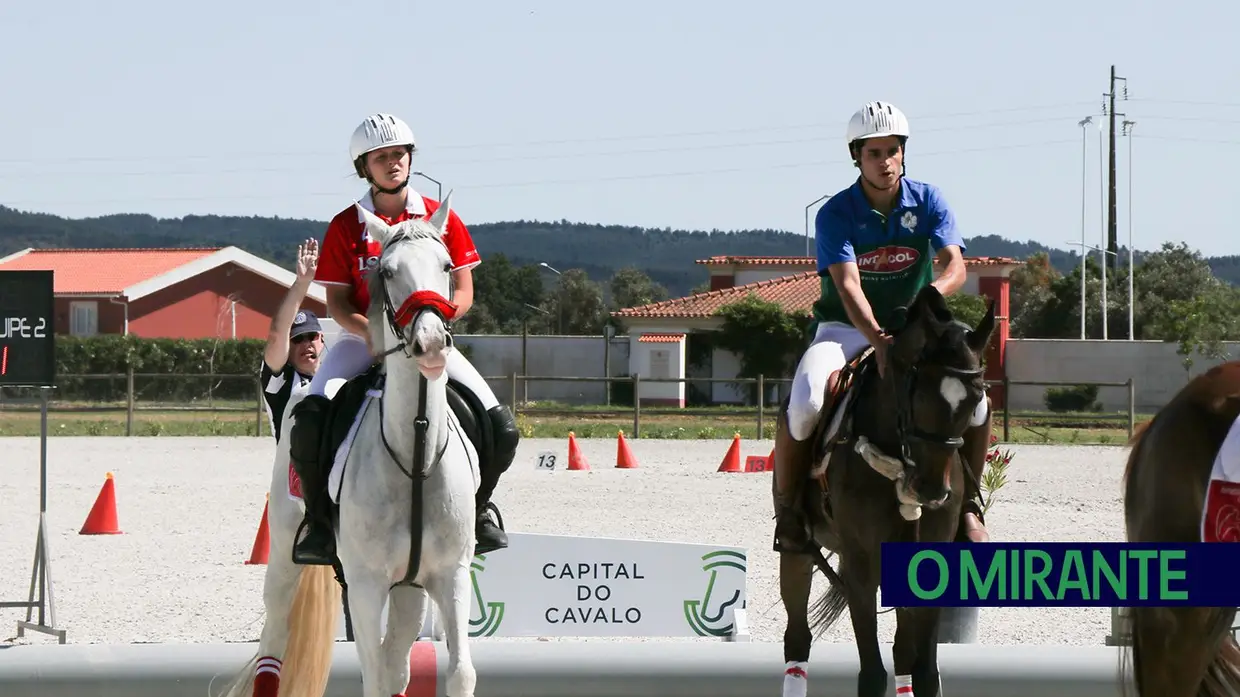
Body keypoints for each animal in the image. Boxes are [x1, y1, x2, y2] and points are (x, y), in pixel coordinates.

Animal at [215, 192, 476, 694]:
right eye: (387, 271)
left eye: (448, 265)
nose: (431, 343)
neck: (414, 451)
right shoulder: (366, 583)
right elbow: (372, 677)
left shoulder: (450, 575)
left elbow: (458, 672)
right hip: (284, 554)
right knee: (274, 639)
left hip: (409, 588)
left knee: (399, 661)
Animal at [773, 282, 996, 694]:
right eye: (919, 392)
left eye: (976, 397)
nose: (930, 490)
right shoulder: (861, 563)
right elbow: (873, 674)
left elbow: (925, 672)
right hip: (798, 549)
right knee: (797, 639)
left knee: (901, 650)